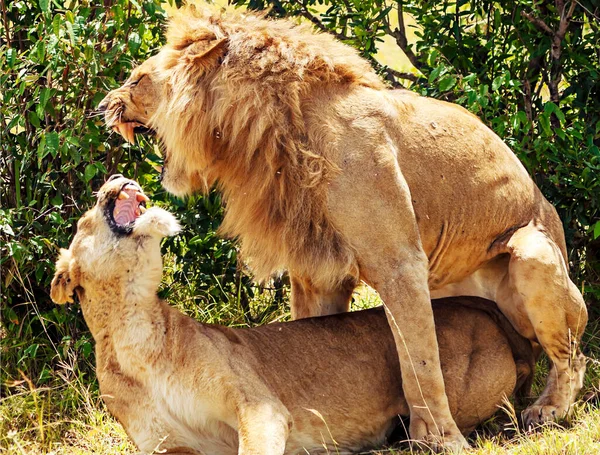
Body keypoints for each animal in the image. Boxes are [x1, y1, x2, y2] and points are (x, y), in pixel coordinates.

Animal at [49, 176, 532, 454]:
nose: (118, 175)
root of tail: (481, 310)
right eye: (84, 221)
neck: (135, 334)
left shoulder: (259, 408)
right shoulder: (167, 448)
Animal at [98, 5, 584, 450]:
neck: (272, 133)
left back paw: (547, 410)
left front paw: (440, 439)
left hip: (533, 256)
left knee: (572, 358)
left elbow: (420, 361)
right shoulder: (318, 273)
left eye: (137, 80)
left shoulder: (400, 261)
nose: (102, 107)